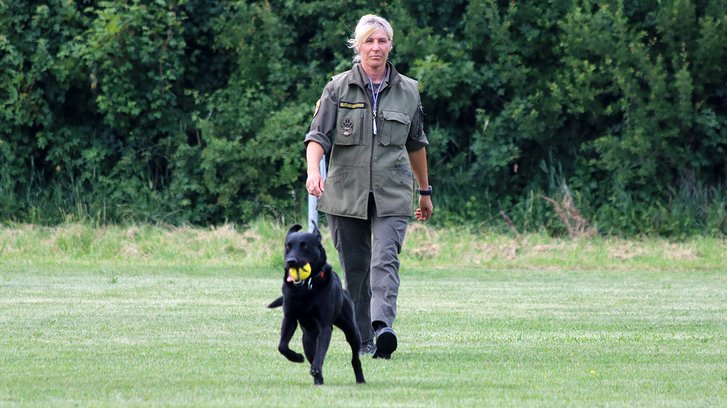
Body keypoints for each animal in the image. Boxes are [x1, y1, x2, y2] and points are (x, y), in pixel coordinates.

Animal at [268, 225, 366, 384]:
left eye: (305, 246)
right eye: (287, 246)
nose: (291, 261)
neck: (306, 289)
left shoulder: (325, 326)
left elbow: (320, 353)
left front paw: (315, 368)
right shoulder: (289, 318)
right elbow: (282, 346)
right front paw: (297, 357)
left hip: (352, 330)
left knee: (355, 358)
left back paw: (360, 379)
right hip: (307, 337)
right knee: (310, 352)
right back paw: (318, 380)